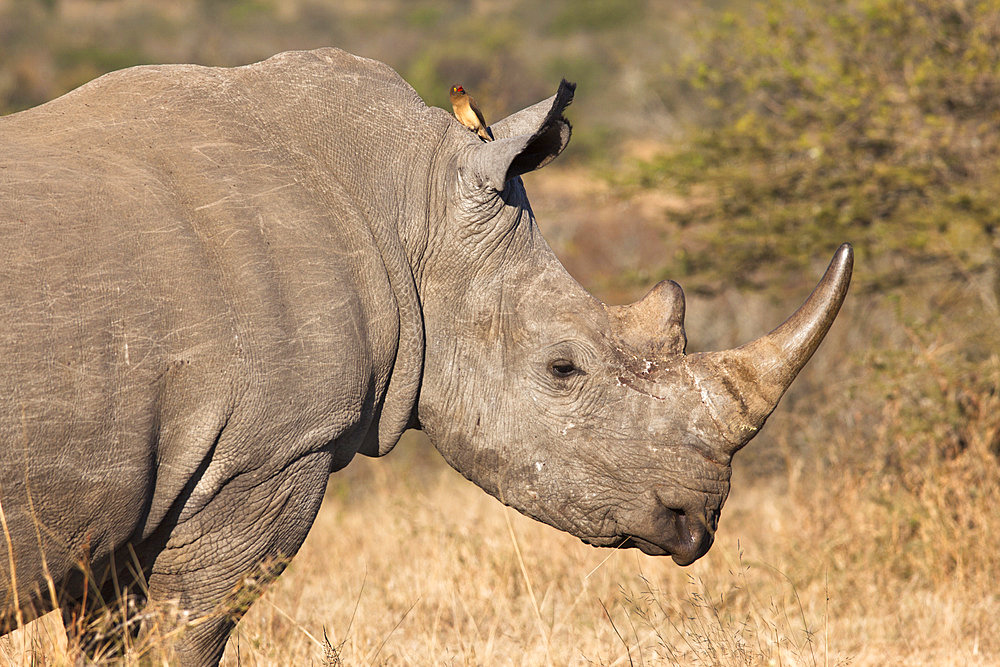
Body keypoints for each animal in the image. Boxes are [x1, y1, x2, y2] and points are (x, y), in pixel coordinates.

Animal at [0, 48, 852, 664]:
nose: (697, 520)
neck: (410, 197)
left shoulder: (121, 507)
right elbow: (184, 635)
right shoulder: (262, 460)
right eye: (563, 368)